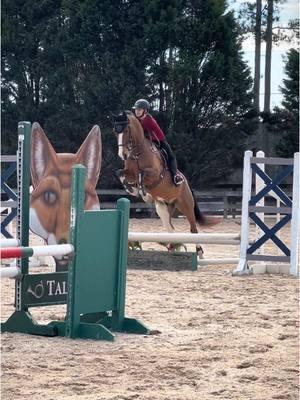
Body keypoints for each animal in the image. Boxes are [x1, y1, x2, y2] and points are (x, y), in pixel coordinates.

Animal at [112, 110, 216, 253]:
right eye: (115, 132)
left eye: (127, 130)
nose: (123, 155)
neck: (138, 152)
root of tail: (187, 184)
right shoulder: (129, 173)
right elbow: (120, 173)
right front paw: (132, 189)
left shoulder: (155, 175)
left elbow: (142, 174)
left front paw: (142, 192)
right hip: (163, 207)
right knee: (170, 228)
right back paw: (172, 246)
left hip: (185, 205)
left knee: (193, 228)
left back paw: (199, 251)